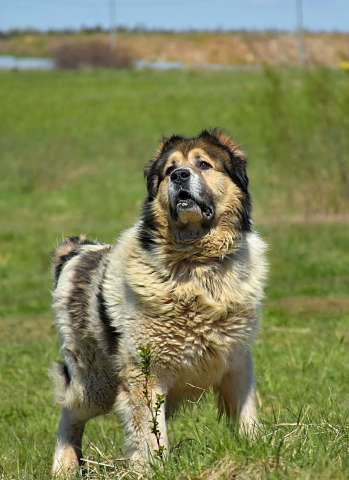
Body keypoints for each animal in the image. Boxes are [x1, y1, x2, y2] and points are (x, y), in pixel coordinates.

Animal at [50, 128, 266, 476]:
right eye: (170, 170)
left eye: (203, 164)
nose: (180, 176)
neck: (196, 267)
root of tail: (80, 252)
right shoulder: (143, 374)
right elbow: (150, 435)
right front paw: (153, 469)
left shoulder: (236, 361)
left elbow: (246, 412)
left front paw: (256, 447)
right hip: (95, 384)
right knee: (69, 413)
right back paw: (64, 466)